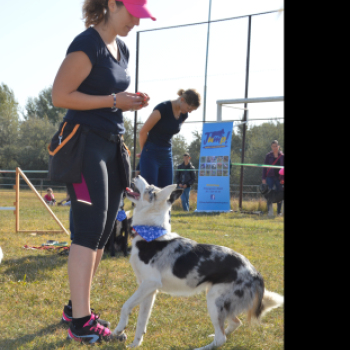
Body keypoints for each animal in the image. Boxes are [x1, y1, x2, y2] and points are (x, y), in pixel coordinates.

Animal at [113, 176, 284, 348]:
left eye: (149, 188)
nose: (136, 176)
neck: (151, 233)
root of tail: (255, 273)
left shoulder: (149, 284)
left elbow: (125, 306)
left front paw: (119, 329)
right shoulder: (149, 290)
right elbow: (141, 321)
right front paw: (135, 344)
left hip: (214, 300)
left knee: (221, 338)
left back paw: (202, 348)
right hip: (220, 302)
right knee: (234, 324)